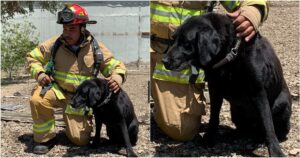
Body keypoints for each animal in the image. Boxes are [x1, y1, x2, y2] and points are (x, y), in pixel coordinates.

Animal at [163, 12, 292, 156]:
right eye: (173, 39)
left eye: (186, 43)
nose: (164, 61)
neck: (230, 54)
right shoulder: (215, 88)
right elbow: (214, 117)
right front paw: (209, 138)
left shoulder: (258, 92)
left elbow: (268, 124)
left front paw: (276, 151)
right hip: (235, 110)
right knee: (243, 130)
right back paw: (231, 134)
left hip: (282, 105)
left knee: (273, 130)